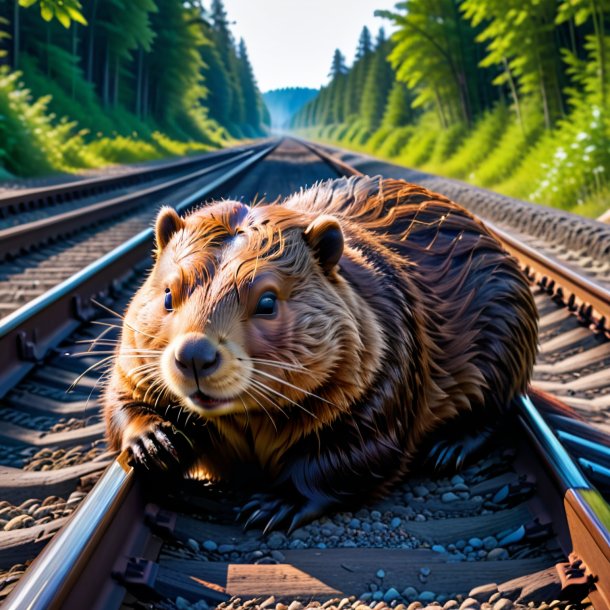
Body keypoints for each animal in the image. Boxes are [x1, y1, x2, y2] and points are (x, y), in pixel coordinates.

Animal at [102, 175, 536, 528]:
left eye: (267, 301)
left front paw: (272, 506)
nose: (194, 355)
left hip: (507, 332)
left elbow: (356, 451)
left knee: (496, 407)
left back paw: (448, 449)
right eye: (168, 294)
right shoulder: (133, 353)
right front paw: (155, 442)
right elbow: (121, 397)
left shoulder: (388, 359)